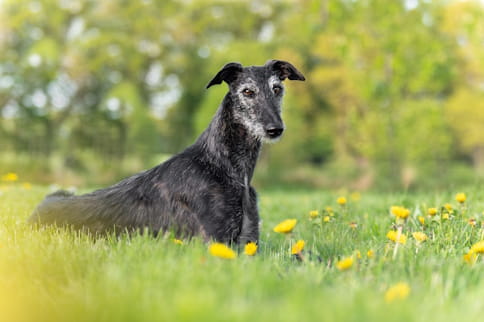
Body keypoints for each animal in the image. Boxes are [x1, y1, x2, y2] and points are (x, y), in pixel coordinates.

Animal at [28, 61, 304, 244]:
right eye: (247, 91)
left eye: (277, 88)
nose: (274, 129)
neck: (221, 164)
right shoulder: (218, 244)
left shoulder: (249, 243)